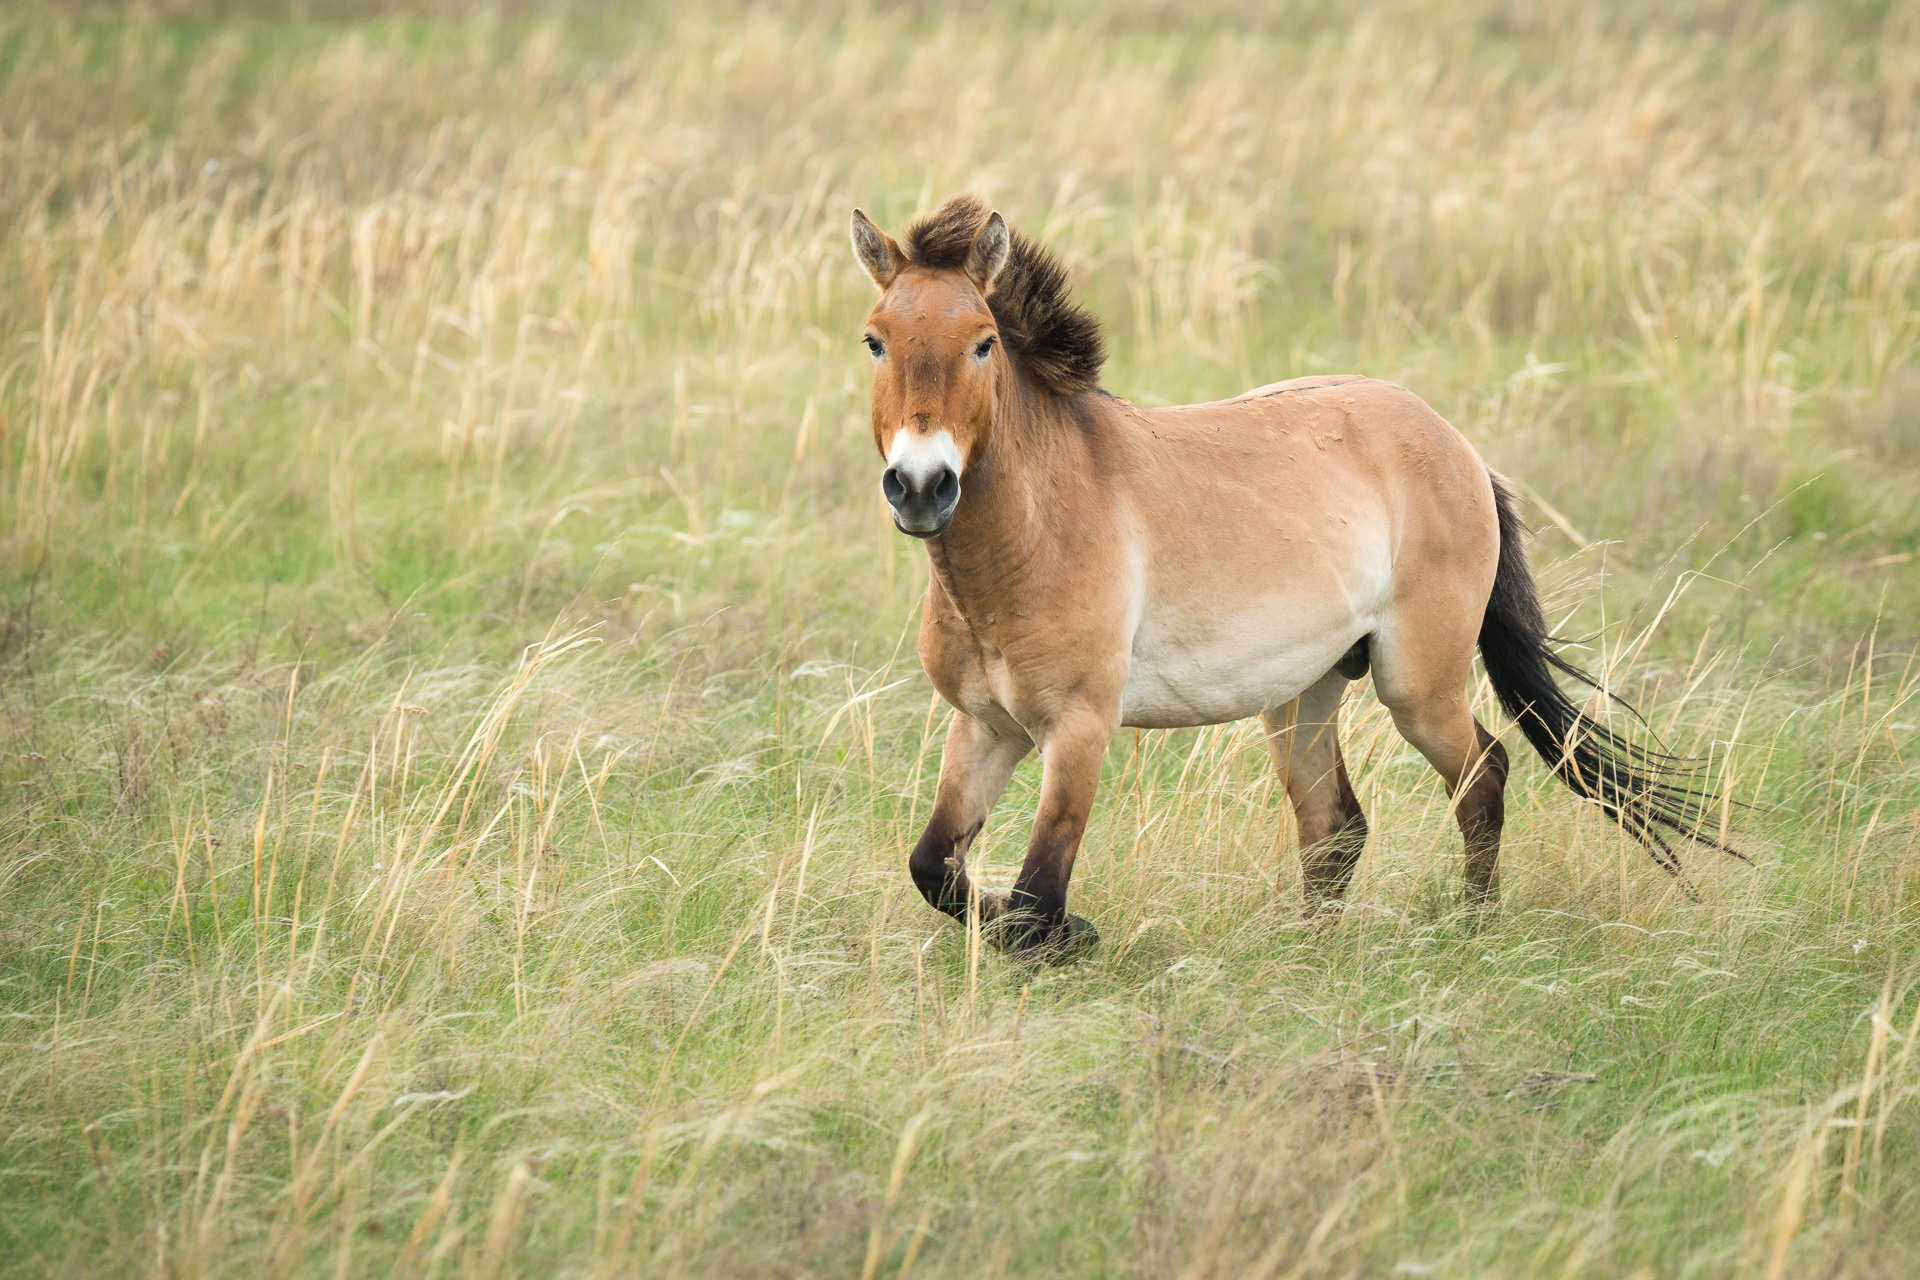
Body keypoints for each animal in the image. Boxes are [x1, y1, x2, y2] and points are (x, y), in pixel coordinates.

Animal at [856, 195, 1743, 955]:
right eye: (875, 340)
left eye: (984, 341)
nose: (922, 487)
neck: (1029, 537)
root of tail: (1457, 444)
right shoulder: (985, 725)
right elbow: (935, 867)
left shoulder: (1078, 729)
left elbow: (1039, 893)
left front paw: (1067, 936)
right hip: (1302, 693)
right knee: (1334, 824)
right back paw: (1309, 950)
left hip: (1415, 687)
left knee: (1481, 776)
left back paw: (1473, 928)